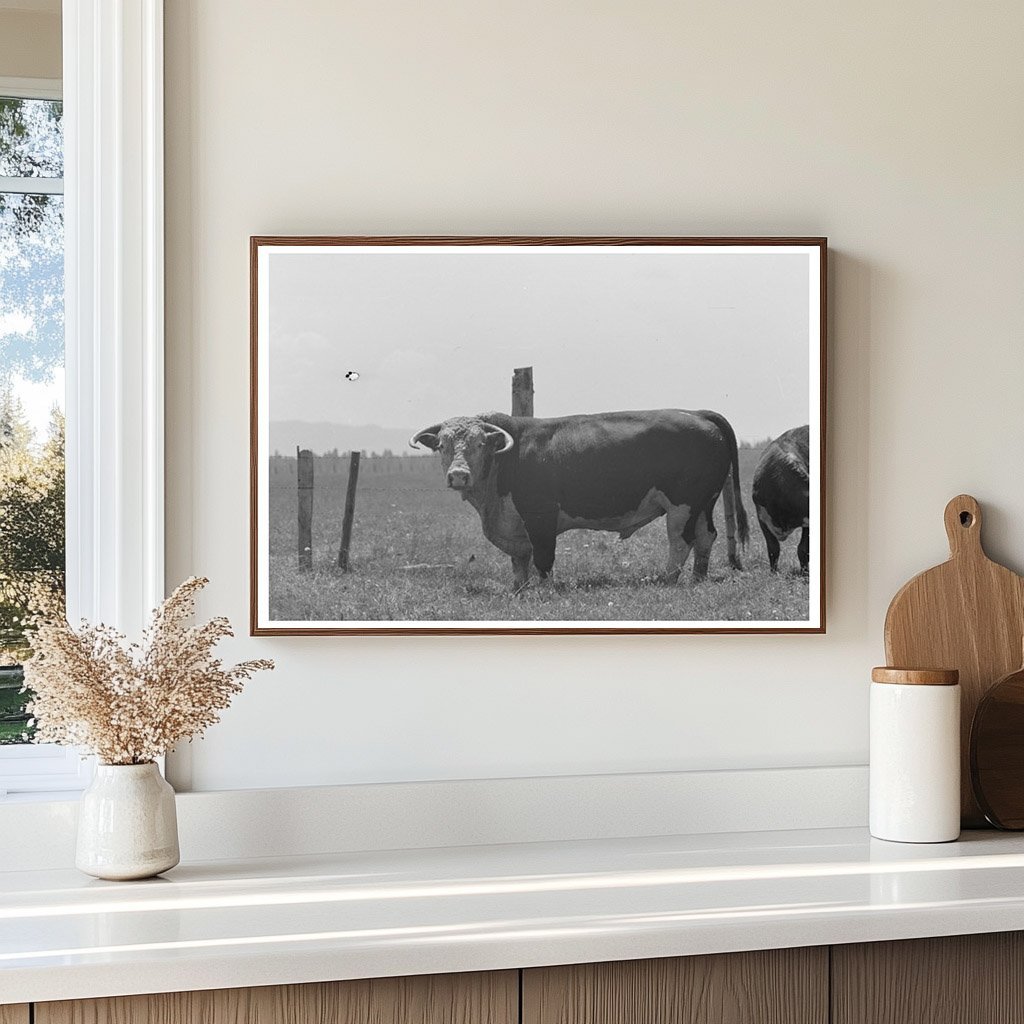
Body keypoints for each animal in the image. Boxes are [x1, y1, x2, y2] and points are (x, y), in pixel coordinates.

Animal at [407, 403, 753, 589]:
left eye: (480, 444)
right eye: (442, 445)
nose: (458, 475)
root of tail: (697, 413)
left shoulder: (541, 516)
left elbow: (543, 557)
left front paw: (542, 589)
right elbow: (520, 560)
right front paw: (519, 588)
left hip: (683, 505)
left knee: (681, 541)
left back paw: (667, 578)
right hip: (703, 503)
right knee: (706, 536)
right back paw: (698, 577)